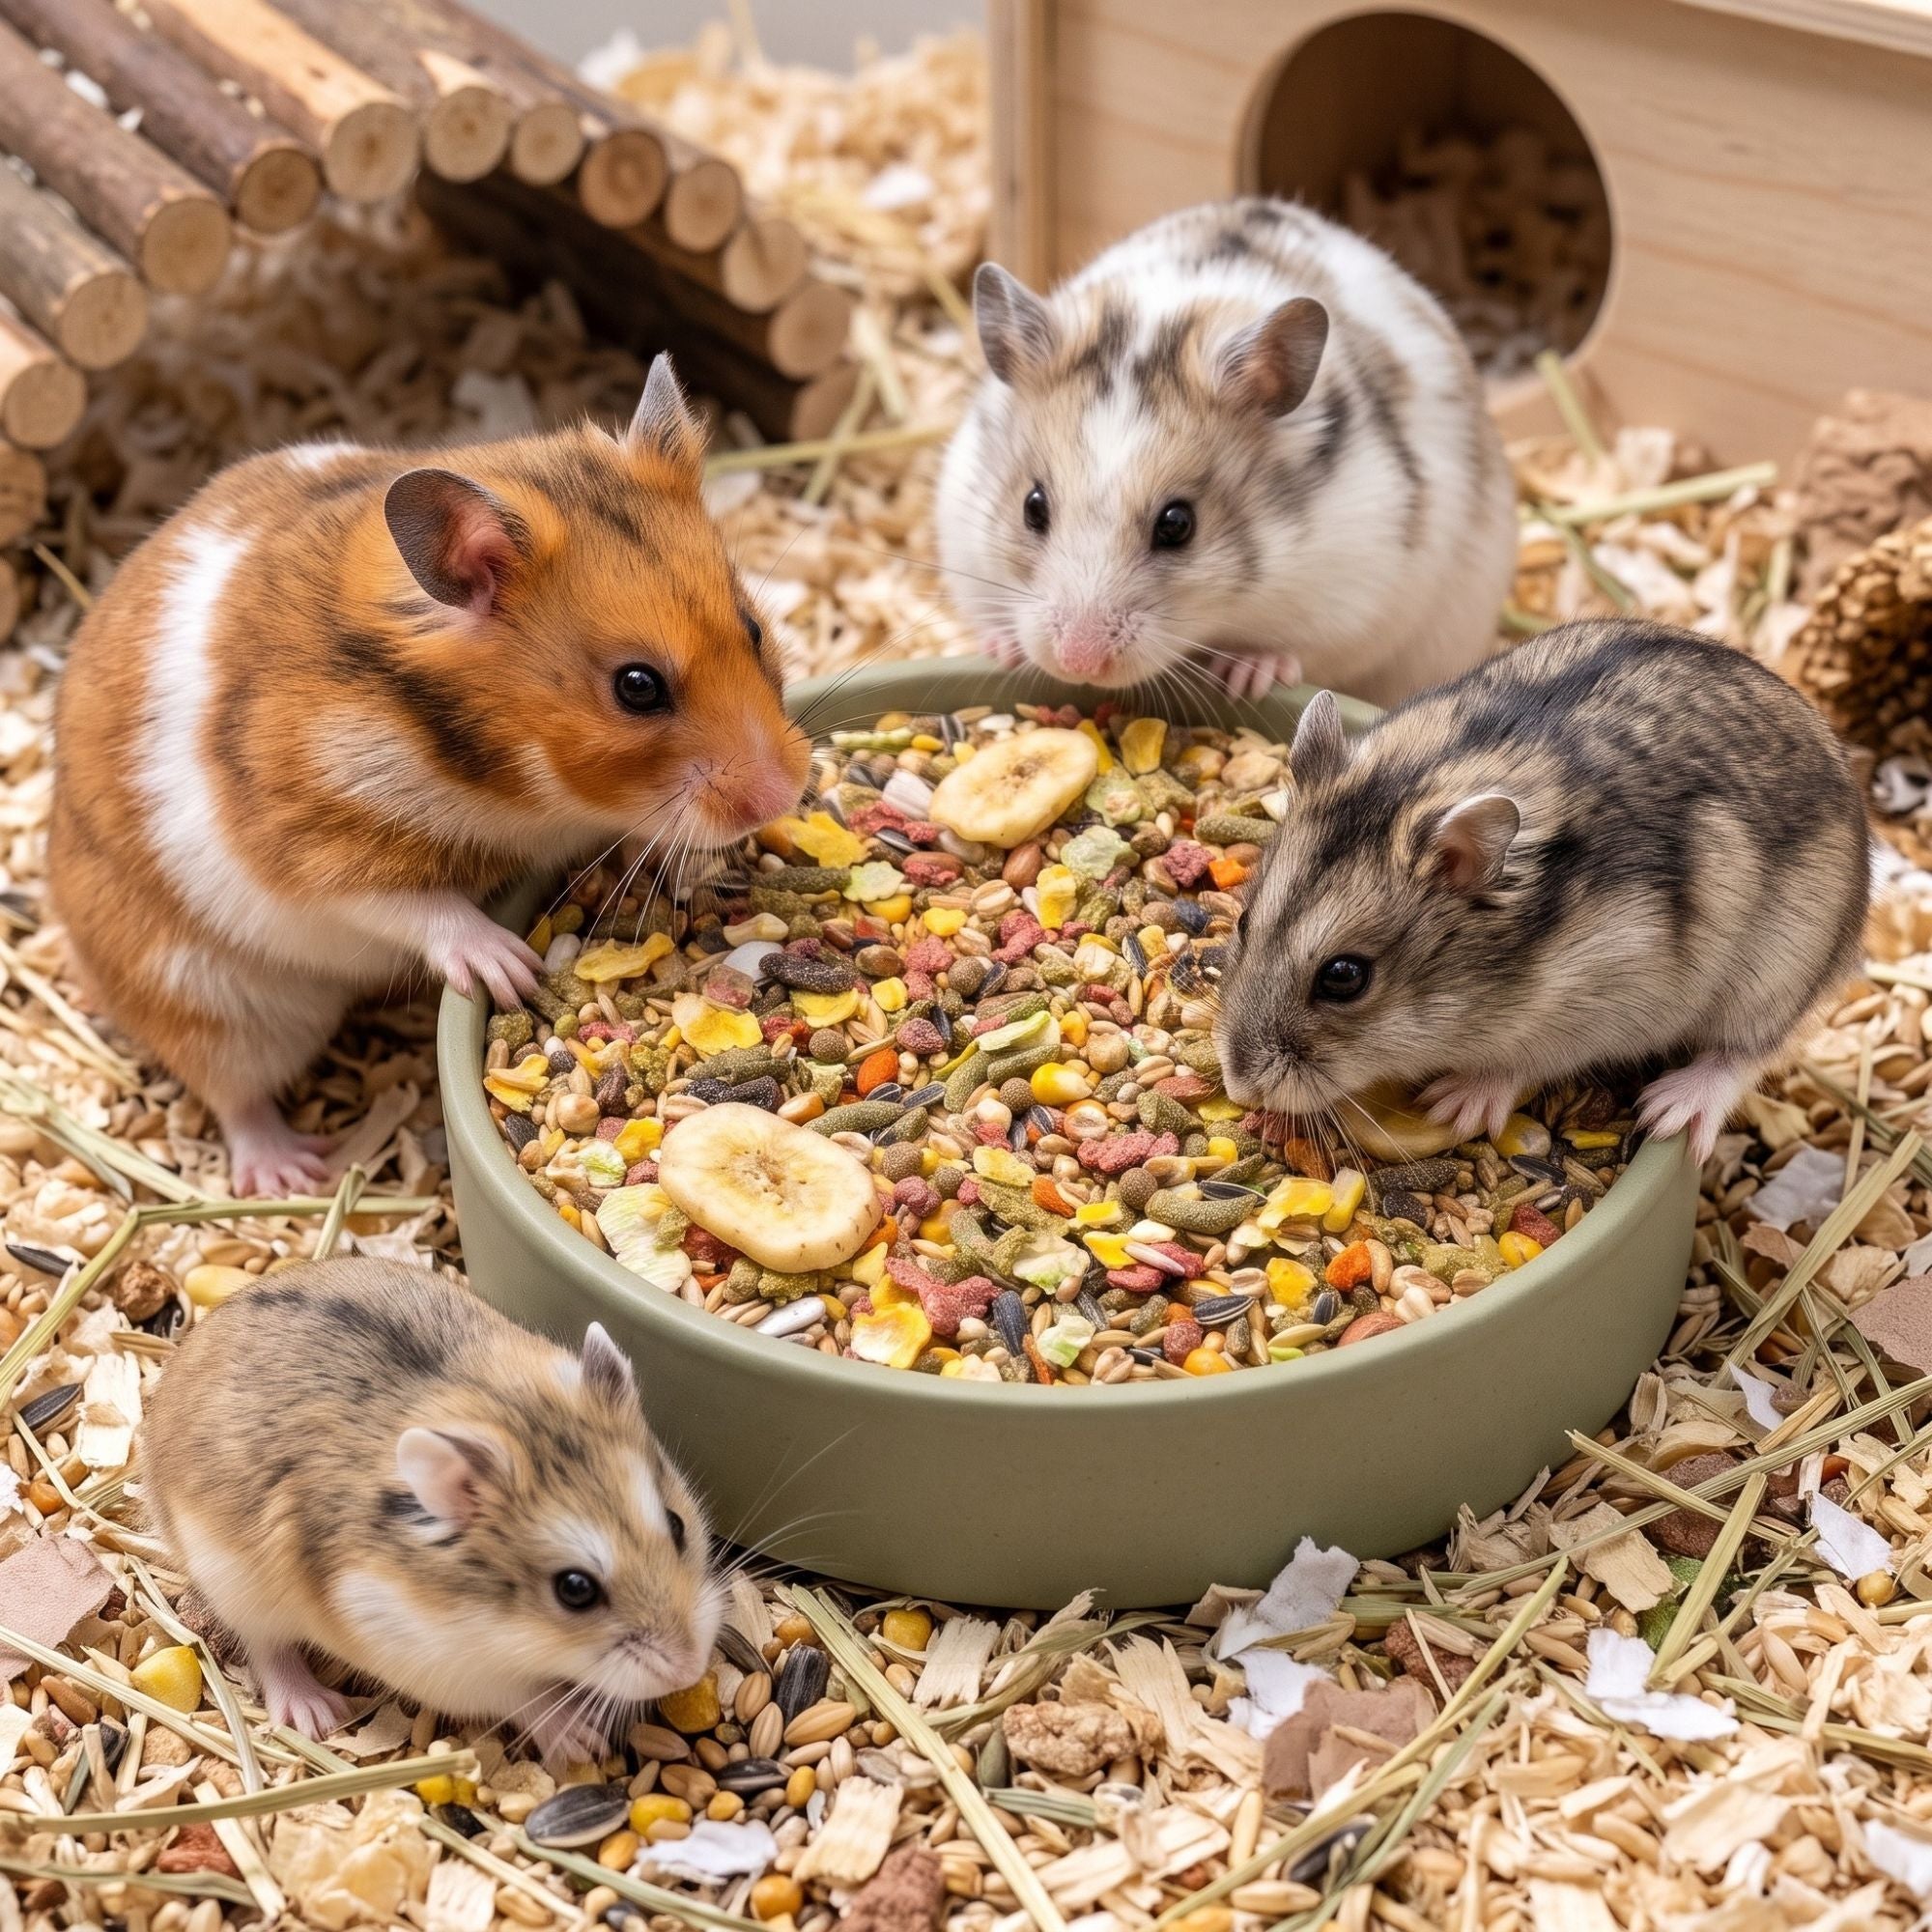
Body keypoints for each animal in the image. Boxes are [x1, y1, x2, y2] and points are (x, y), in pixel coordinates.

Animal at [49, 356, 810, 1196]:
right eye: (637, 687)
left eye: (752, 627)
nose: (785, 795)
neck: (518, 784)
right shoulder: (313, 845)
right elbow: (417, 907)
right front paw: (510, 971)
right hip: (212, 1004)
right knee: (234, 1094)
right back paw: (292, 1172)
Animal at [141, 1257, 719, 1762]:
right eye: (574, 1590)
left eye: (676, 1525)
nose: (690, 1669)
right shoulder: (443, 1666)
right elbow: (525, 1699)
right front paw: (581, 1739)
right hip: (236, 1584)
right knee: (265, 1648)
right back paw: (317, 1713)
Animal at [936, 198, 1517, 704]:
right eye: (1032, 507)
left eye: (1178, 524)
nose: (1079, 663)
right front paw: (1003, 650)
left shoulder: (1356, 597)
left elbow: (1299, 650)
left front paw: (1246, 675)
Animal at [1213, 618, 1871, 1162]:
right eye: (1243, 923)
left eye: (1345, 977)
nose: (1240, 1088)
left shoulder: (1609, 998)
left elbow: (1525, 1061)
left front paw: (1453, 1104)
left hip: (1780, 969)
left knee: (1750, 1051)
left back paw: (1672, 1109)